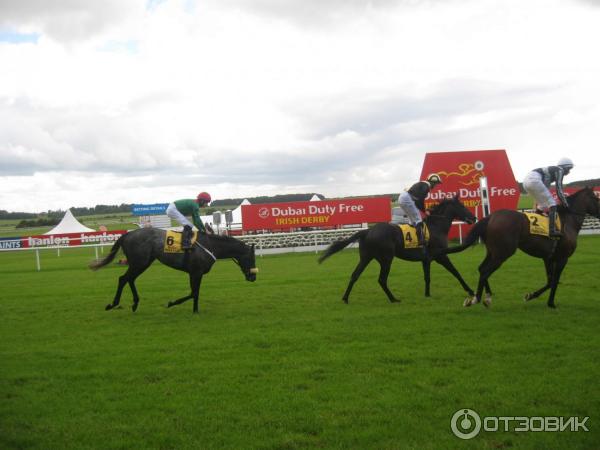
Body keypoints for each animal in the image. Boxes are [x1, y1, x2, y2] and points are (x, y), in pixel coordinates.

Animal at [88, 229, 255, 312]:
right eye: (251, 258)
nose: (253, 277)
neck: (210, 246)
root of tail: (127, 234)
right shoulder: (195, 272)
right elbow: (193, 293)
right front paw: (172, 303)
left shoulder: (196, 273)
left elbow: (195, 293)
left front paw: (195, 310)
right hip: (139, 262)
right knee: (123, 279)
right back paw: (113, 304)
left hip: (143, 263)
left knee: (129, 279)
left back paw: (135, 303)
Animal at [318, 196, 478, 304]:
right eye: (462, 206)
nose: (474, 218)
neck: (436, 228)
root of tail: (368, 231)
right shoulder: (441, 256)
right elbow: (456, 272)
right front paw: (470, 290)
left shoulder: (426, 259)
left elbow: (427, 277)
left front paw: (427, 294)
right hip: (386, 259)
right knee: (382, 279)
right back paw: (393, 299)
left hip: (366, 257)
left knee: (355, 275)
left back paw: (345, 298)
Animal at [436, 187, 600, 310]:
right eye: (597, 198)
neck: (568, 221)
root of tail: (490, 217)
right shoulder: (562, 258)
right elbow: (554, 281)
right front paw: (551, 303)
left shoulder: (548, 257)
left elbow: (550, 280)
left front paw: (531, 295)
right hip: (503, 253)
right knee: (485, 272)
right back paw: (476, 299)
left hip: (493, 251)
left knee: (482, 269)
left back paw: (485, 298)